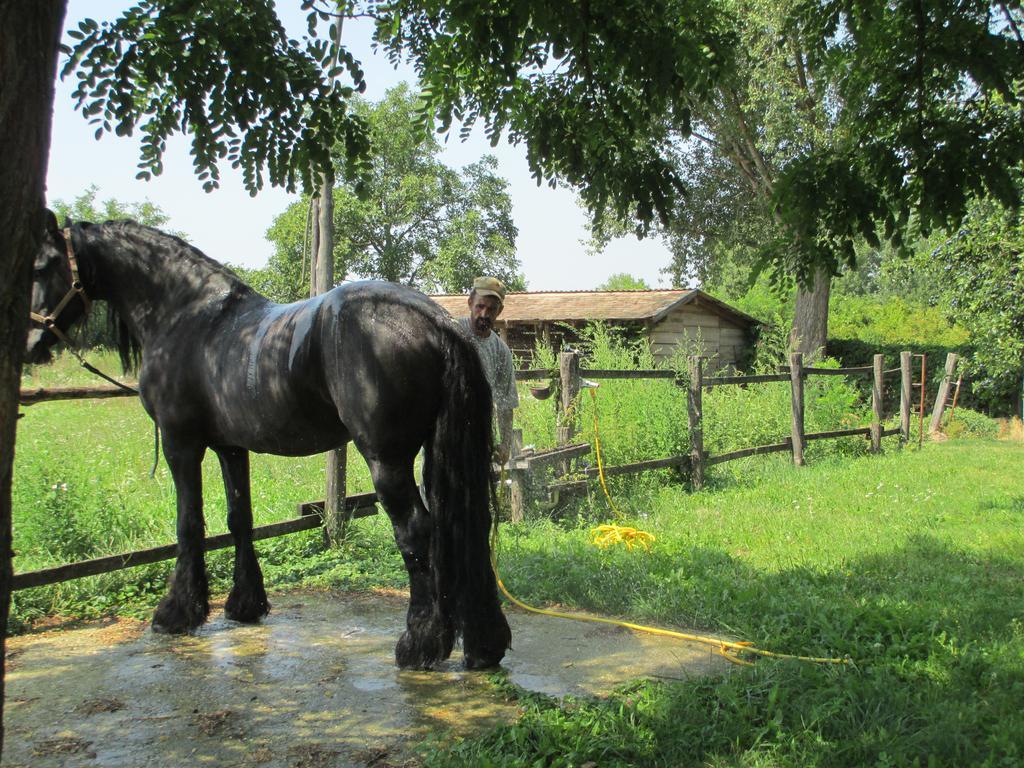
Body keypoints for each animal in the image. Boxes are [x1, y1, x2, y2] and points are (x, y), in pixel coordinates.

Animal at [19, 214, 507, 671]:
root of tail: (434, 320)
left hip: (386, 460)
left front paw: (176, 613)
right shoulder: (231, 448)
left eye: (42, 266)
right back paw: (483, 645)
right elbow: (240, 519)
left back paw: (418, 645)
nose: (30, 342)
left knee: (416, 532)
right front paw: (244, 605)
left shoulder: (182, 443)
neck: (186, 316)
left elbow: (189, 523)